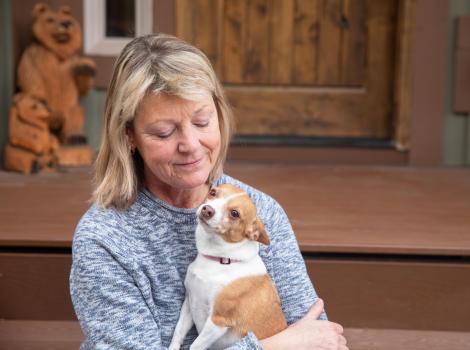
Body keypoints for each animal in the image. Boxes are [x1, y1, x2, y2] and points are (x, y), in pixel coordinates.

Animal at [169, 185, 286, 348]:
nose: (207, 209)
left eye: (235, 213)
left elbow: (195, 345)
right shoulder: (188, 305)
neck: (220, 259)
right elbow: (178, 333)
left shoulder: (217, 321)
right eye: (212, 192)